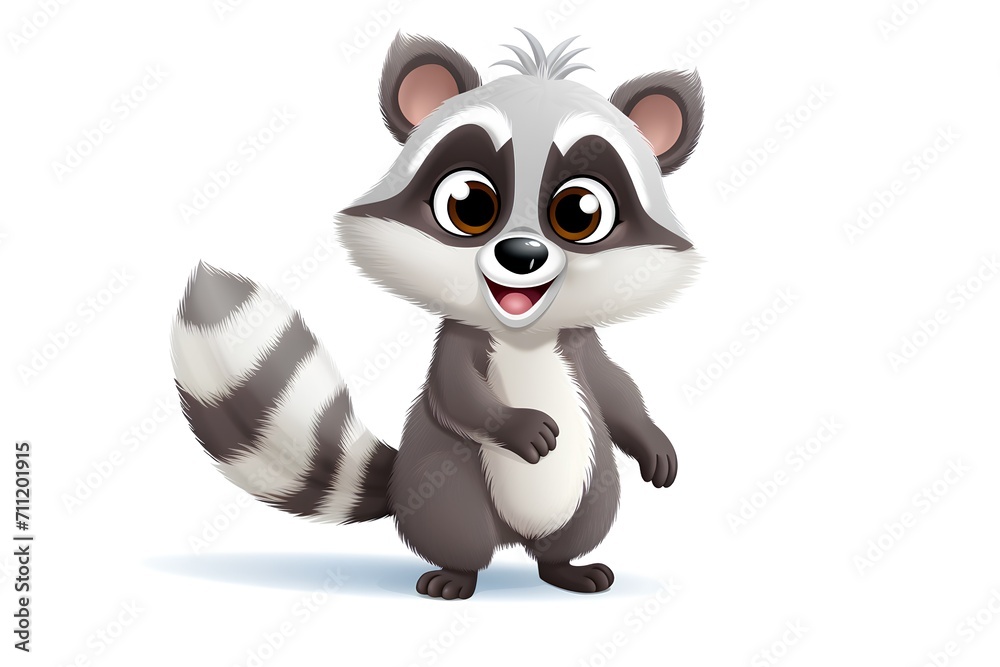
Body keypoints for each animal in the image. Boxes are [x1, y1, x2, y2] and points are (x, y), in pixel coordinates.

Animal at [171, 29, 704, 599]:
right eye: (469, 205)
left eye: (580, 212)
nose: (522, 255)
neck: (522, 334)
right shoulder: (460, 340)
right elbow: (457, 394)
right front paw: (516, 426)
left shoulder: (579, 342)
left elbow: (614, 388)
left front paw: (652, 439)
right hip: (445, 482)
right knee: (456, 526)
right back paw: (456, 574)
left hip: (590, 487)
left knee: (578, 527)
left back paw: (566, 568)